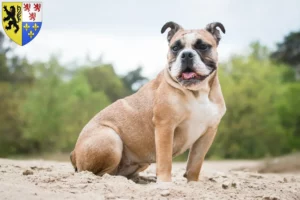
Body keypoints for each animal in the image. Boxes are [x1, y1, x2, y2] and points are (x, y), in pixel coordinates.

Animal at [69, 21, 225, 182]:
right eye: (175, 48)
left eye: (203, 46)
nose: (186, 54)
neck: (197, 93)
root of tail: (73, 153)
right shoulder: (165, 127)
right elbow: (165, 160)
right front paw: (165, 182)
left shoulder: (208, 133)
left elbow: (195, 164)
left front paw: (192, 183)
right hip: (111, 138)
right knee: (101, 173)